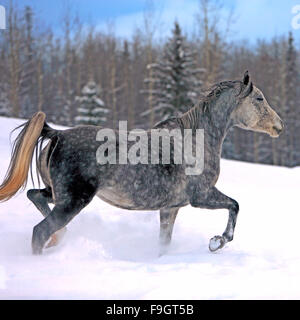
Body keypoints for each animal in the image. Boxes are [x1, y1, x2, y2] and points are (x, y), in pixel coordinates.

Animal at [0, 70, 284, 255]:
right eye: (259, 98)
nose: (279, 126)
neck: (196, 139)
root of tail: (57, 134)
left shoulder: (170, 208)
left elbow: (164, 243)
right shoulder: (201, 195)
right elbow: (235, 205)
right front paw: (217, 242)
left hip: (58, 194)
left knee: (34, 195)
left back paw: (60, 239)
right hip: (73, 200)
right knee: (39, 232)